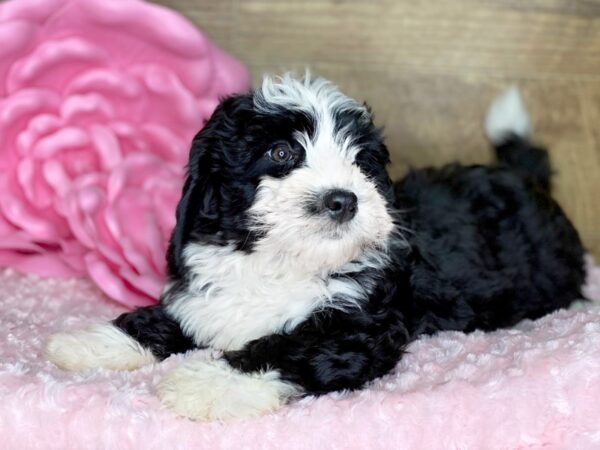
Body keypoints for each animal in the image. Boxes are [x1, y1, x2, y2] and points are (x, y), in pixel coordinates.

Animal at [48, 74, 584, 422]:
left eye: (361, 163)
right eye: (282, 151)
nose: (342, 199)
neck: (280, 262)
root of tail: (524, 178)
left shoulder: (359, 326)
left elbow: (285, 348)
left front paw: (208, 383)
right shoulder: (206, 294)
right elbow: (169, 318)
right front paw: (94, 342)